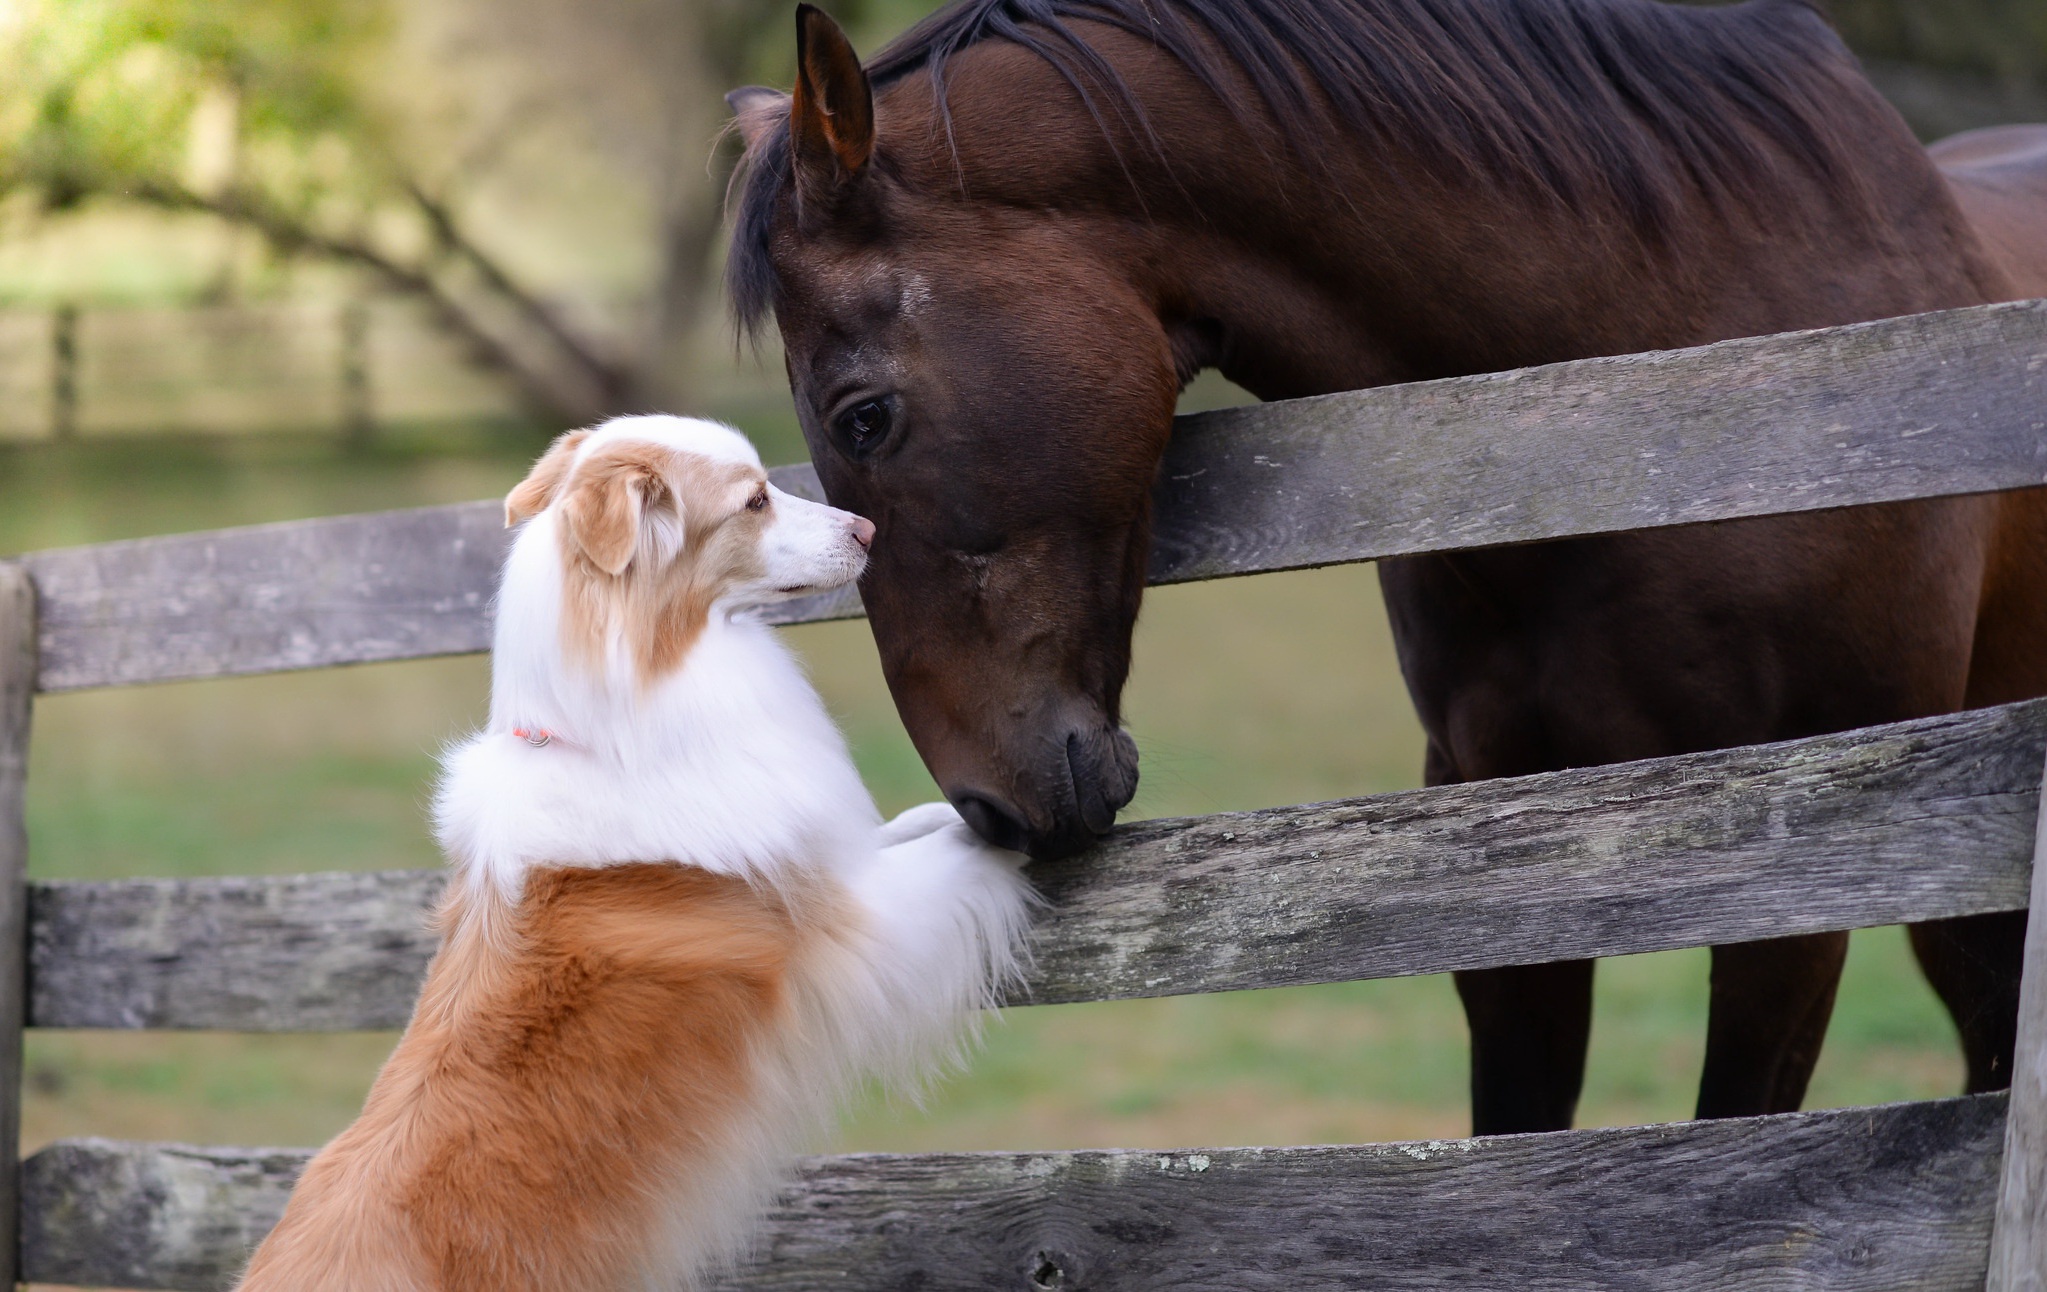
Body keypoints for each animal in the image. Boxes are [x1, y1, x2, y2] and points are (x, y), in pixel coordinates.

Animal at [239, 417, 1039, 1292]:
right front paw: (1011, 828)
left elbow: (902, 826)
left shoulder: (828, 856)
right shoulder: (854, 924)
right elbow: (951, 856)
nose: (865, 529)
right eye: (754, 501)